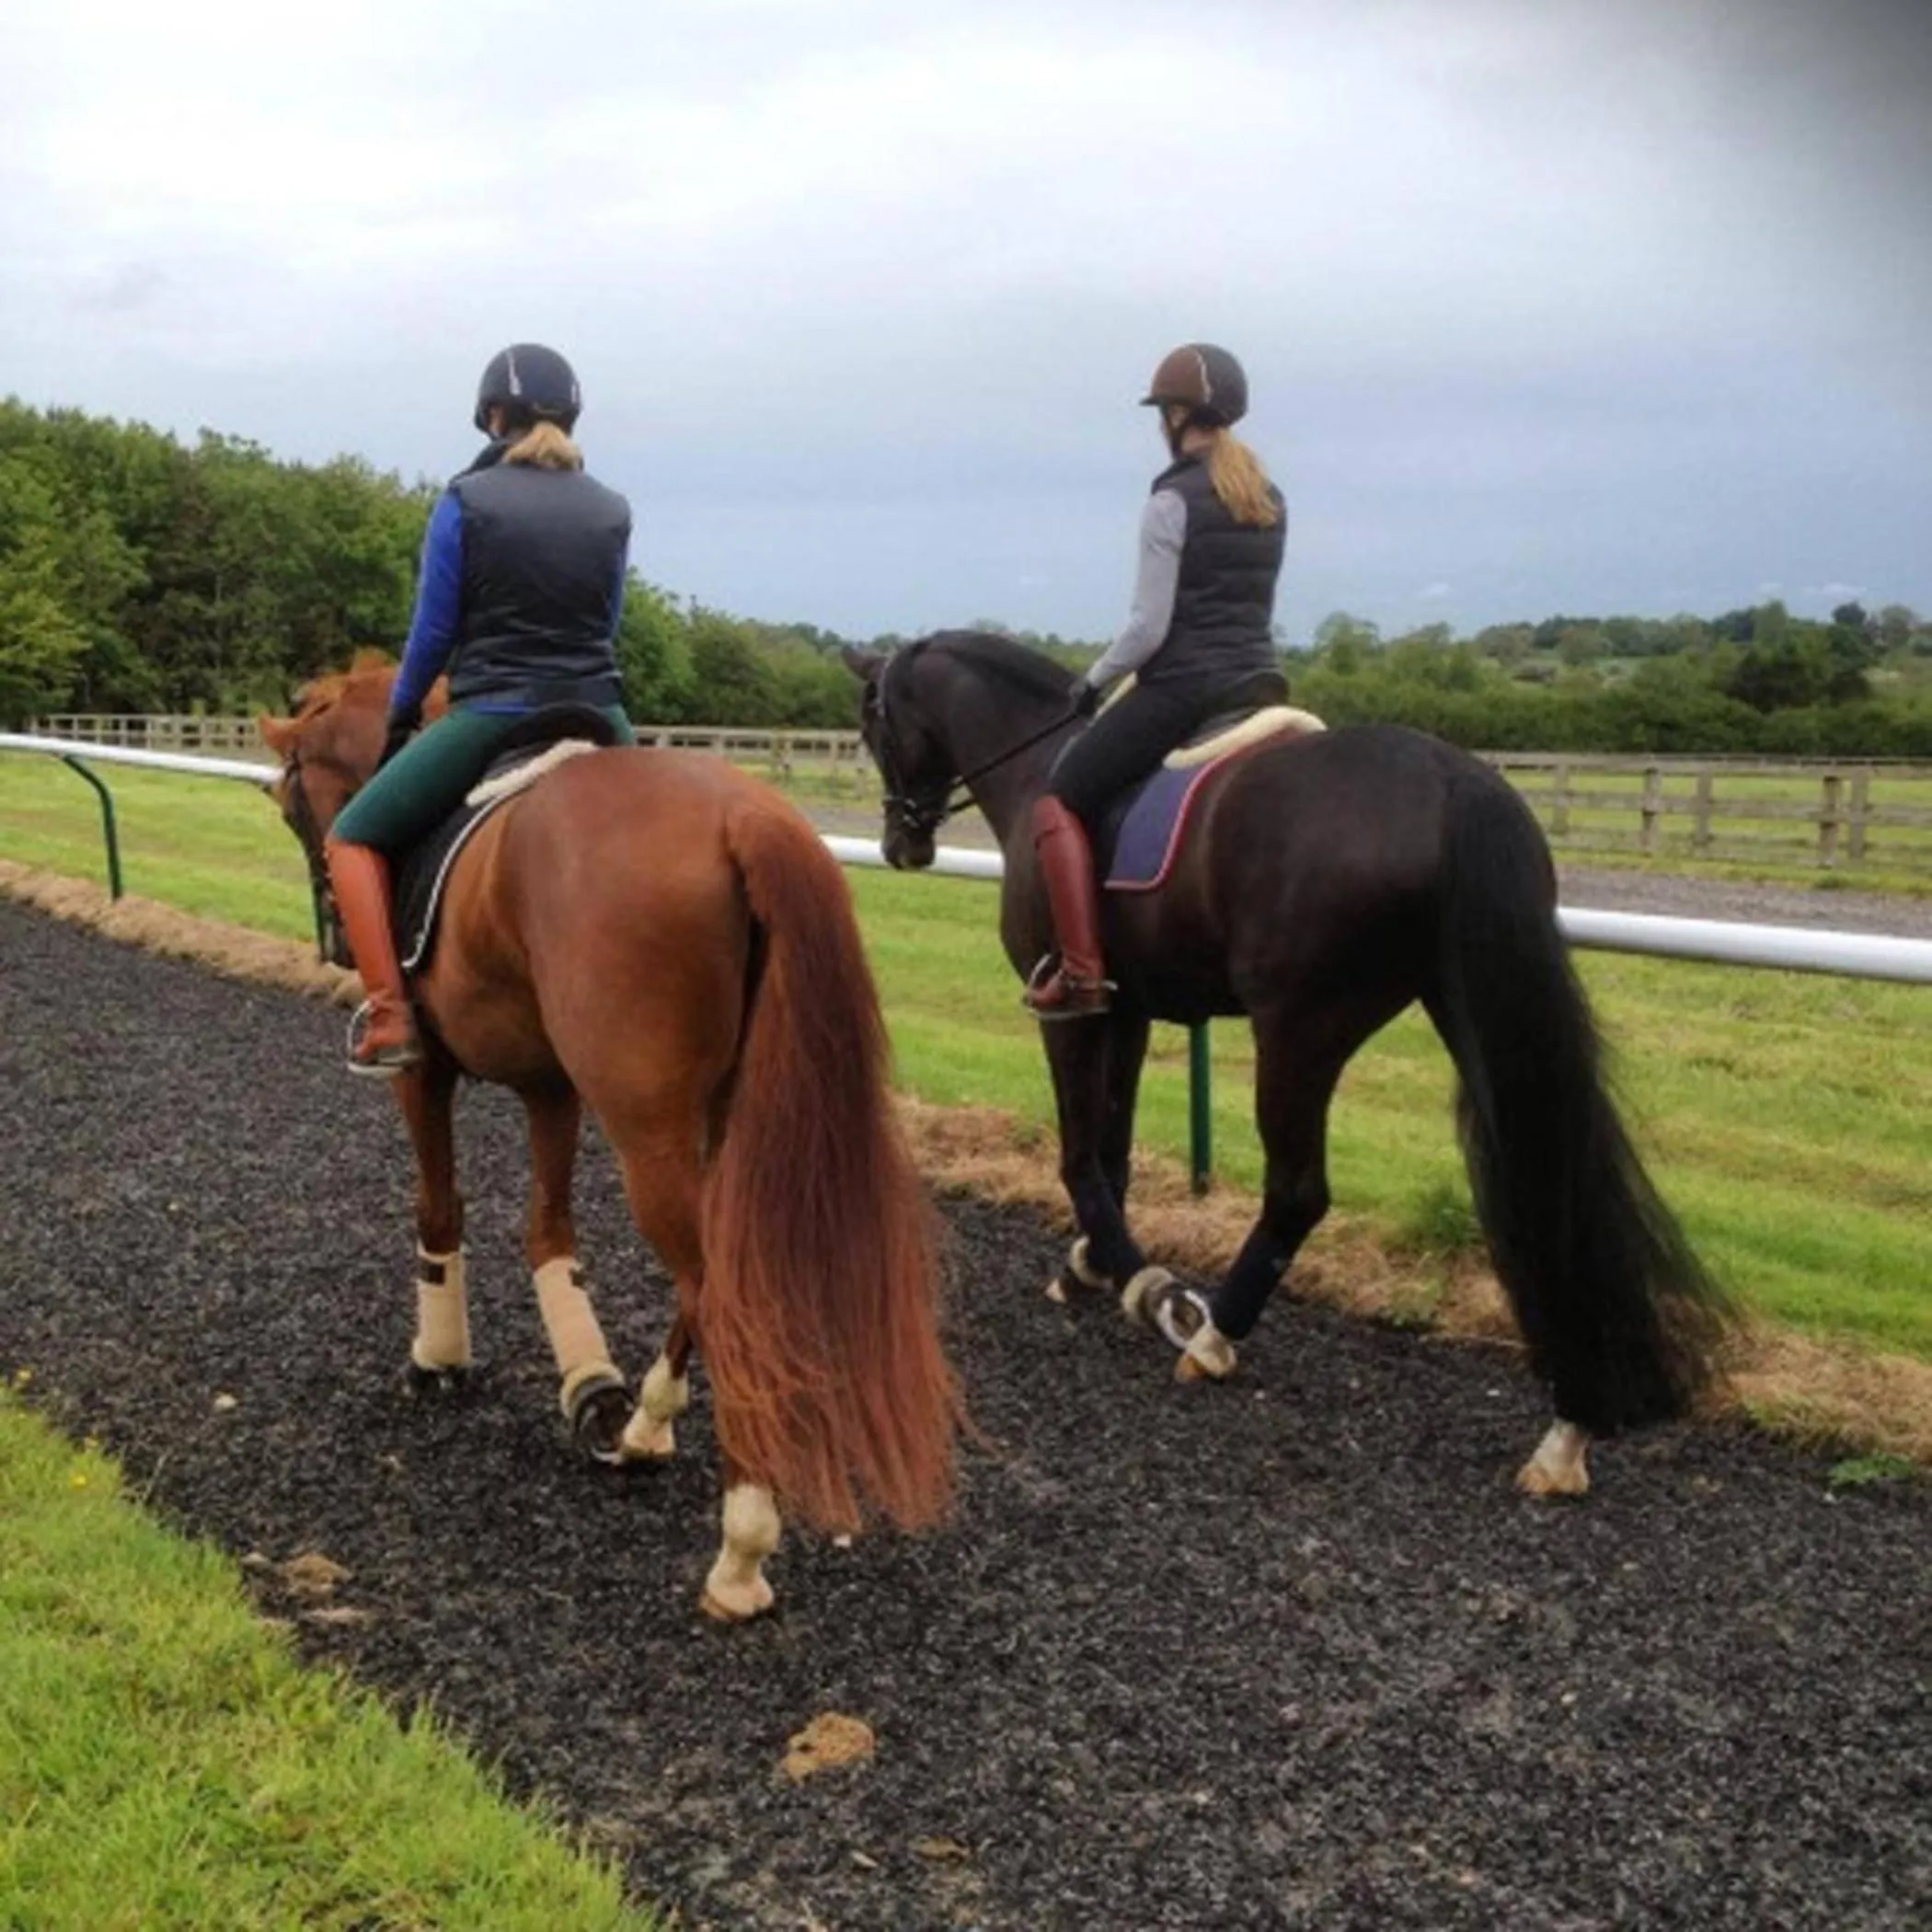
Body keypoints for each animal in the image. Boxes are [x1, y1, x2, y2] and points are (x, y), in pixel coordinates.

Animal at [260, 661, 957, 1619]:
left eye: (294, 800)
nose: (331, 938)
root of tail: (741, 820)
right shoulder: (551, 1087)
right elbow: (548, 1232)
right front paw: (589, 1382)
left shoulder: (422, 1076)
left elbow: (439, 1210)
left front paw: (438, 1357)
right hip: (719, 1119)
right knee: (710, 1279)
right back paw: (644, 1425)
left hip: (648, 1131)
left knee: (717, 1291)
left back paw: (741, 1549)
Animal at [843, 631, 1730, 1496]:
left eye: (872, 722)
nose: (901, 841)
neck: (1036, 763)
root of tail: (1451, 783)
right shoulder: (1126, 1010)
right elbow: (1114, 1148)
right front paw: (1090, 1264)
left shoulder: (1069, 1010)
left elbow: (1079, 1155)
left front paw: (1146, 1286)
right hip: (1465, 1008)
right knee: (1537, 1174)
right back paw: (1568, 1428)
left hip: (1300, 1030)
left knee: (1299, 1193)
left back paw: (1212, 1335)